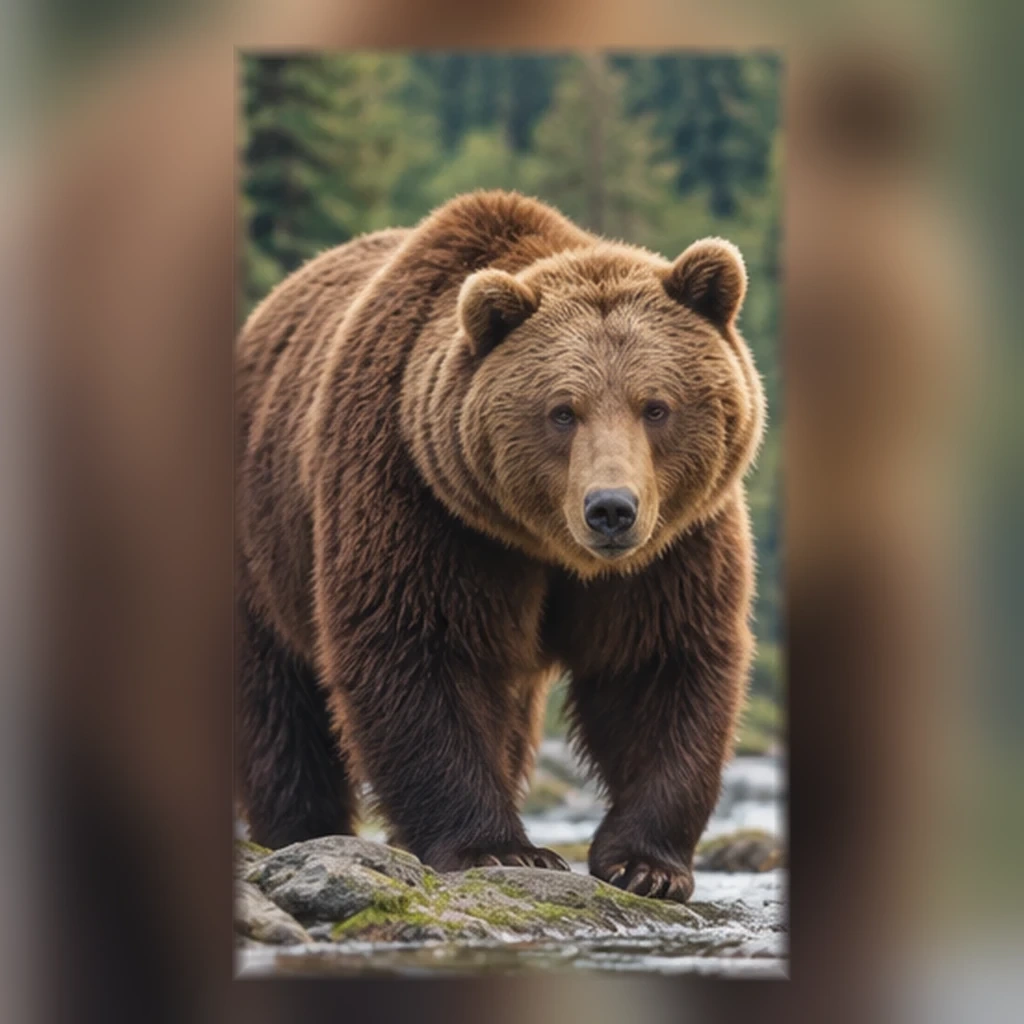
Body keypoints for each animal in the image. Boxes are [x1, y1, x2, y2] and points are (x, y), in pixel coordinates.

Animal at [235, 190, 765, 902]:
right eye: (563, 411)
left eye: (656, 406)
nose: (611, 509)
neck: (544, 544)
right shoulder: (427, 505)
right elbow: (419, 648)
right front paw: (498, 848)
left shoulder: (671, 544)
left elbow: (656, 661)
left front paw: (644, 864)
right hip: (263, 536)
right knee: (279, 698)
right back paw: (299, 827)